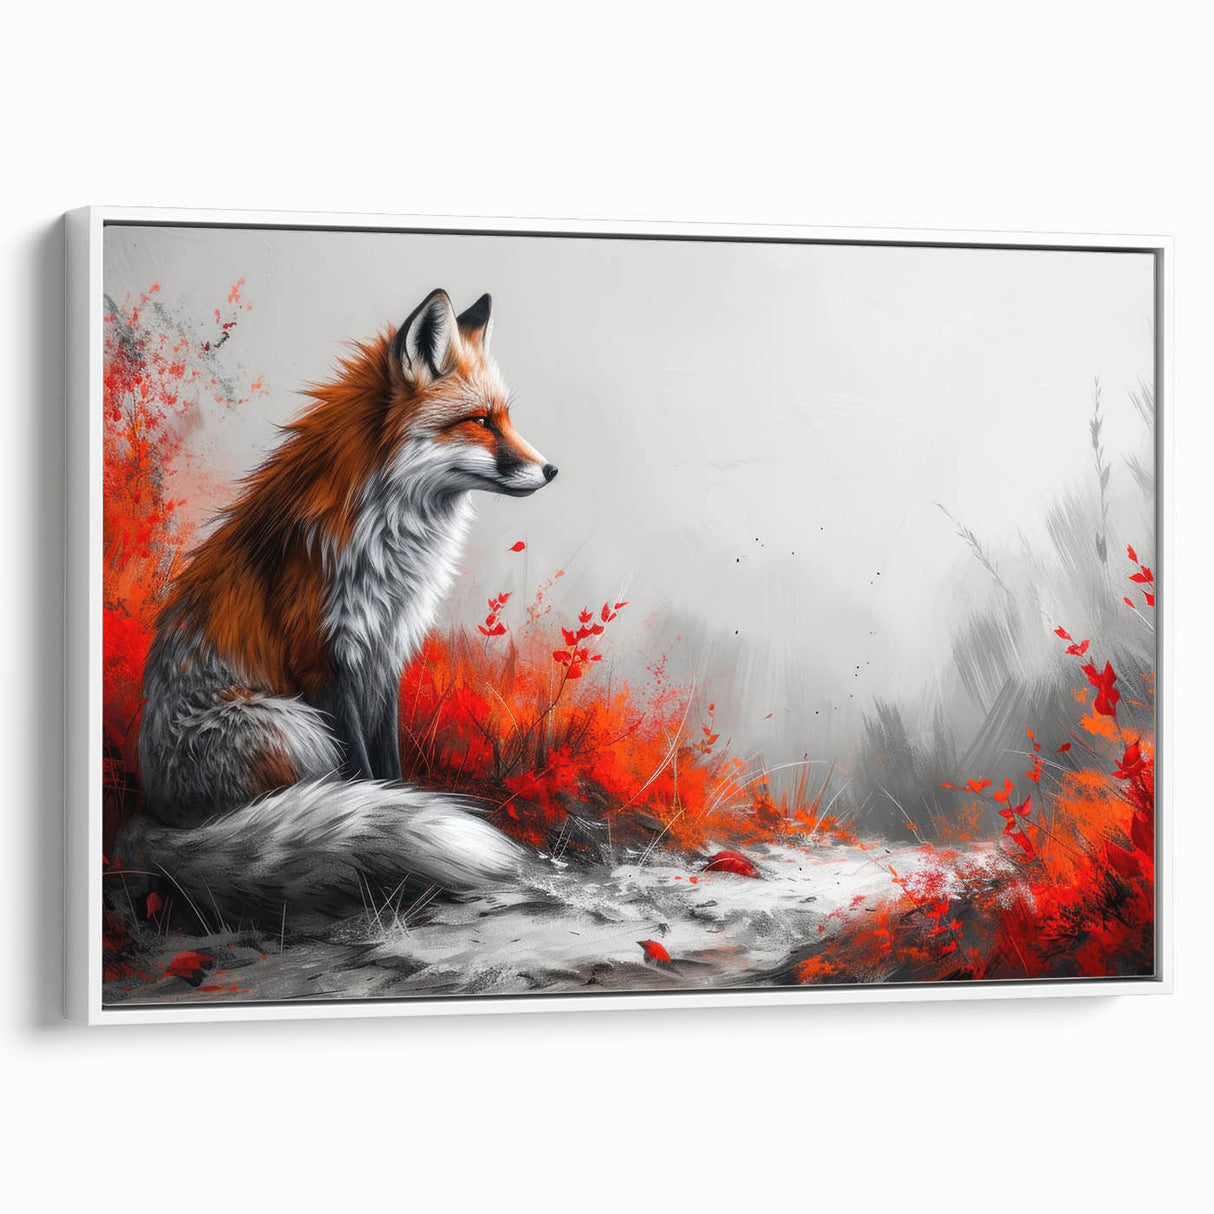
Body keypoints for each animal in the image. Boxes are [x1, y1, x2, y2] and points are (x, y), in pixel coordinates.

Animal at [117, 289, 558, 928]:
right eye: (480, 422)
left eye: (505, 418)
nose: (551, 469)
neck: (390, 541)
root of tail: (154, 814)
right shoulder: (324, 659)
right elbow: (363, 779)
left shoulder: (385, 652)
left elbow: (388, 772)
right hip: (293, 726)